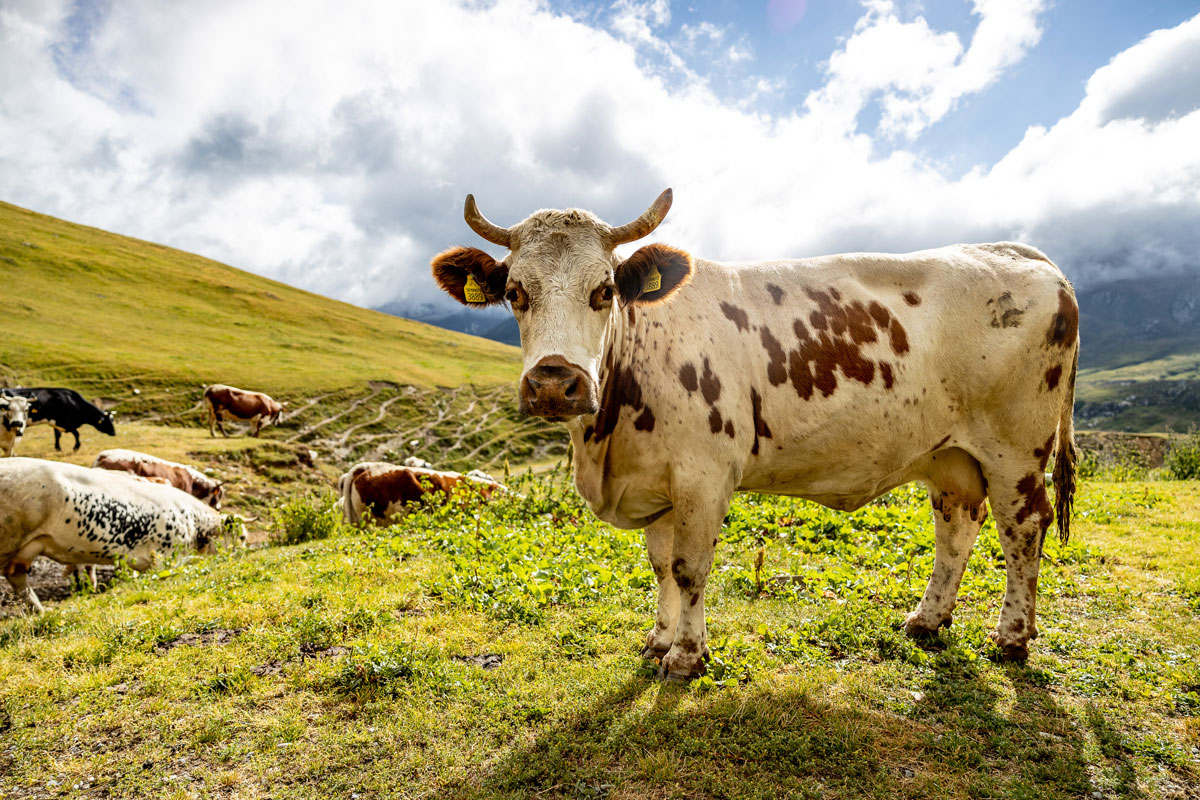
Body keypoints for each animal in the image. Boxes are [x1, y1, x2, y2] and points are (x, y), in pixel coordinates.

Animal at [0, 458, 244, 613]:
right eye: (241, 537)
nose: (240, 556)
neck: (192, 520)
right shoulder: (165, 557)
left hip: (24, 549)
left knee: (18, 579)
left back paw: (42, 612)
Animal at [429, 189, 1080, 679]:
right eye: (515, 293)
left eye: (604, 290)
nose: (554, 383)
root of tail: (1021, 255)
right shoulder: (659, 483)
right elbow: (661, 566)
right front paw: (658, 641)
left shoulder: (704, 476)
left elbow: (690, 568)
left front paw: (686, 657)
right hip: (951, 457)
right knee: (957, 529)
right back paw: (927, 619)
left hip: (1015, 450)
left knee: (1023, 530)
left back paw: (1012, 637)